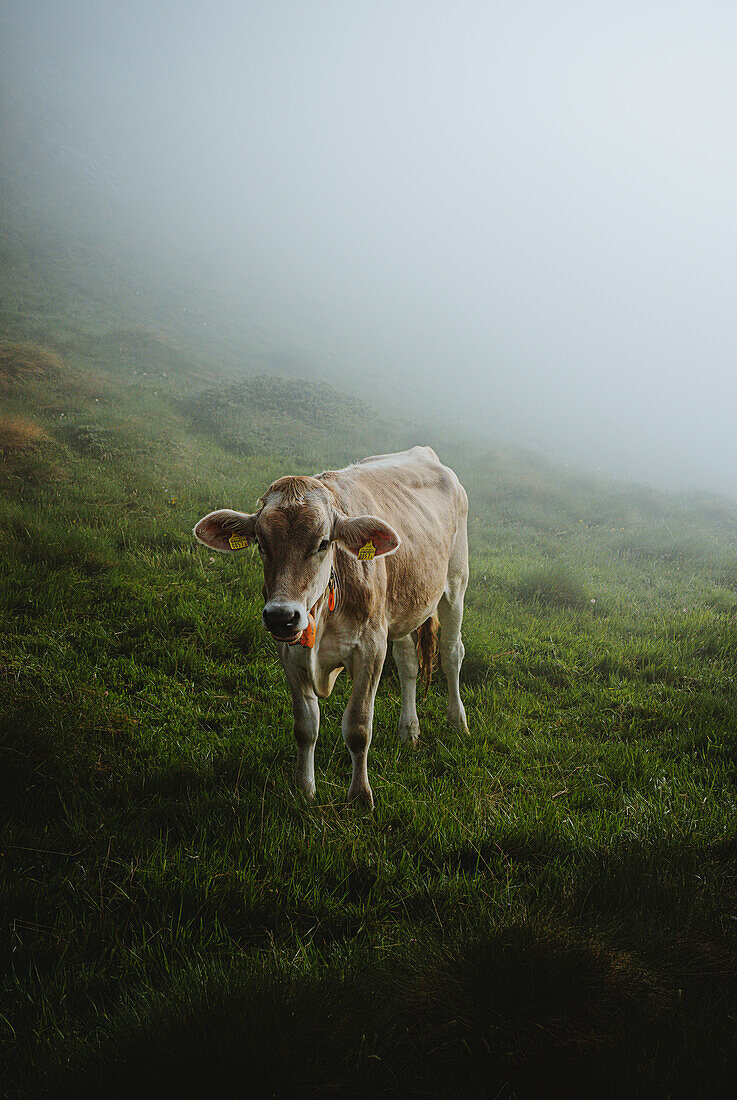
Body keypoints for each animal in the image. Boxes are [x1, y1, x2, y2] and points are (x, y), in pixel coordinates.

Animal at [195, 446, 470, 809]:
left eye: (323, 543)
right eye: (261, 544)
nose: (281, 616)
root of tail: (423, 452)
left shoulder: (371, 648)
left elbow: (358, 727)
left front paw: (360, 797)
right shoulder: (291, 654)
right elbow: (305, 726)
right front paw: (305, 789)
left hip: (455, 582)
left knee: (452, 653)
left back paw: (458, 722)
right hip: (402, 608)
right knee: (408, 664)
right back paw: (408, 730)